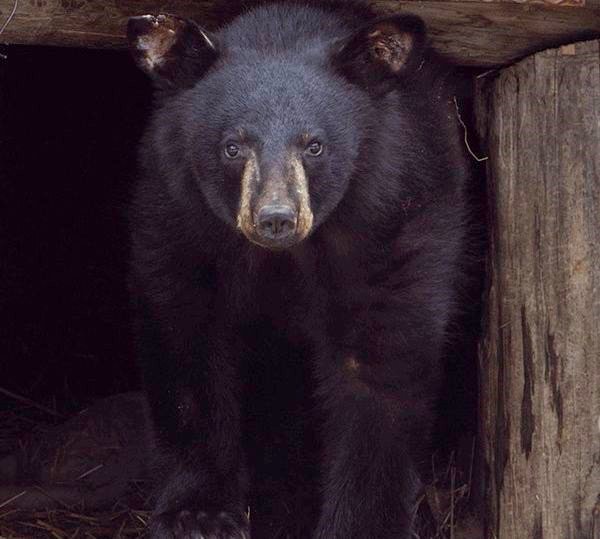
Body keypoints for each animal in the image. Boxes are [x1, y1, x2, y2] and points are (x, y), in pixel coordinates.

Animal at [126, 2, 474, 536]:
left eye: (315, 146)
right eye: (233, 146)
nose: (276, 218)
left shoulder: (397, 211)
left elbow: (380, 356)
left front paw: (360, 523)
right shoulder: (176, 210)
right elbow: (185, 333)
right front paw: (198, 514)